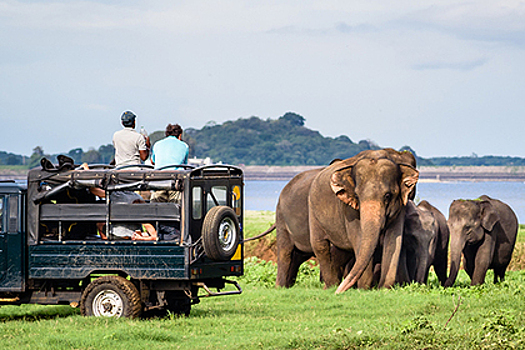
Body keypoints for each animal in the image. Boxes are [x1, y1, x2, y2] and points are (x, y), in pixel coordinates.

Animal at [274, 148, 418, 292]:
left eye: (387, 196)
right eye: (357, 196)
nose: (339, 293)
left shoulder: (400, 207)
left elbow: (394, 241)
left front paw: (383, 289)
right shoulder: (349, 210)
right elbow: (359, 240)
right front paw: (364, 289)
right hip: (304, 213)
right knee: (310, 247)